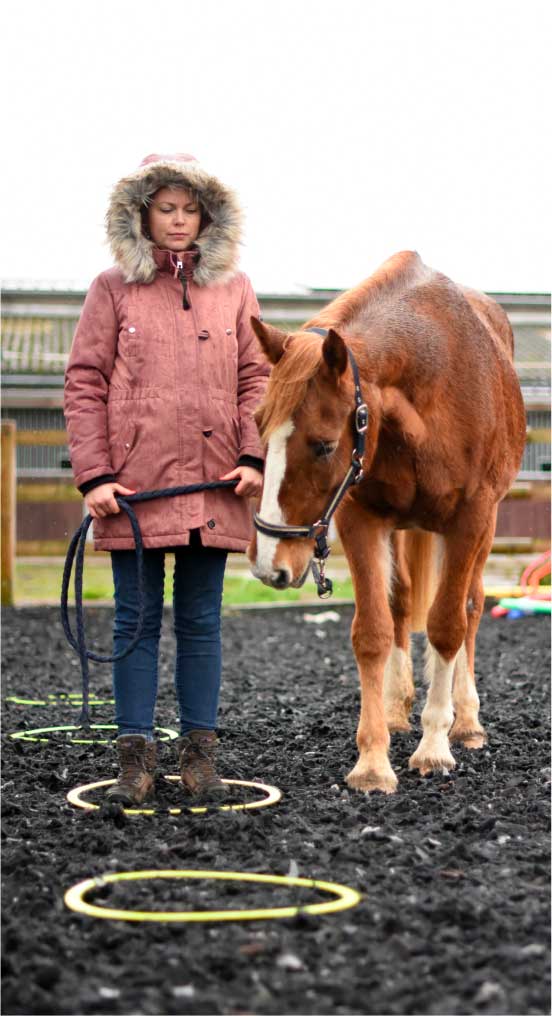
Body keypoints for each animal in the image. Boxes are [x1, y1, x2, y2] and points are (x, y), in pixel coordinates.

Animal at [247, 251, 528, 792]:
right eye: (257, 425)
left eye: (323, 445)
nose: (270, 564)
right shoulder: (362, 517)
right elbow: (373, 630)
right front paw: (373, 762)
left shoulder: (470, 520)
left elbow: (447, 625)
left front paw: (435, 747)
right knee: (401, 607)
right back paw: (398, 711)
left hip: (483, 531)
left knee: (472, 606)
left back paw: (466, 721)